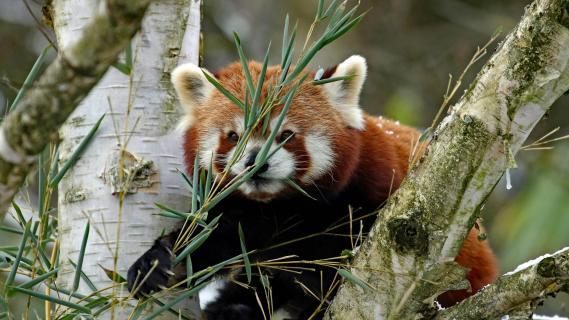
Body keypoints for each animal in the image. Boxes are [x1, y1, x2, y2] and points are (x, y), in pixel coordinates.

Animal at [127, 56, 496, 318]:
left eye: (286, 135)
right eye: (234, 136)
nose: (256, 162)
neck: (285, 207)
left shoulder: (371, 197)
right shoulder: (243, 213)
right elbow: (212, 236)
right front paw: (156, 263)